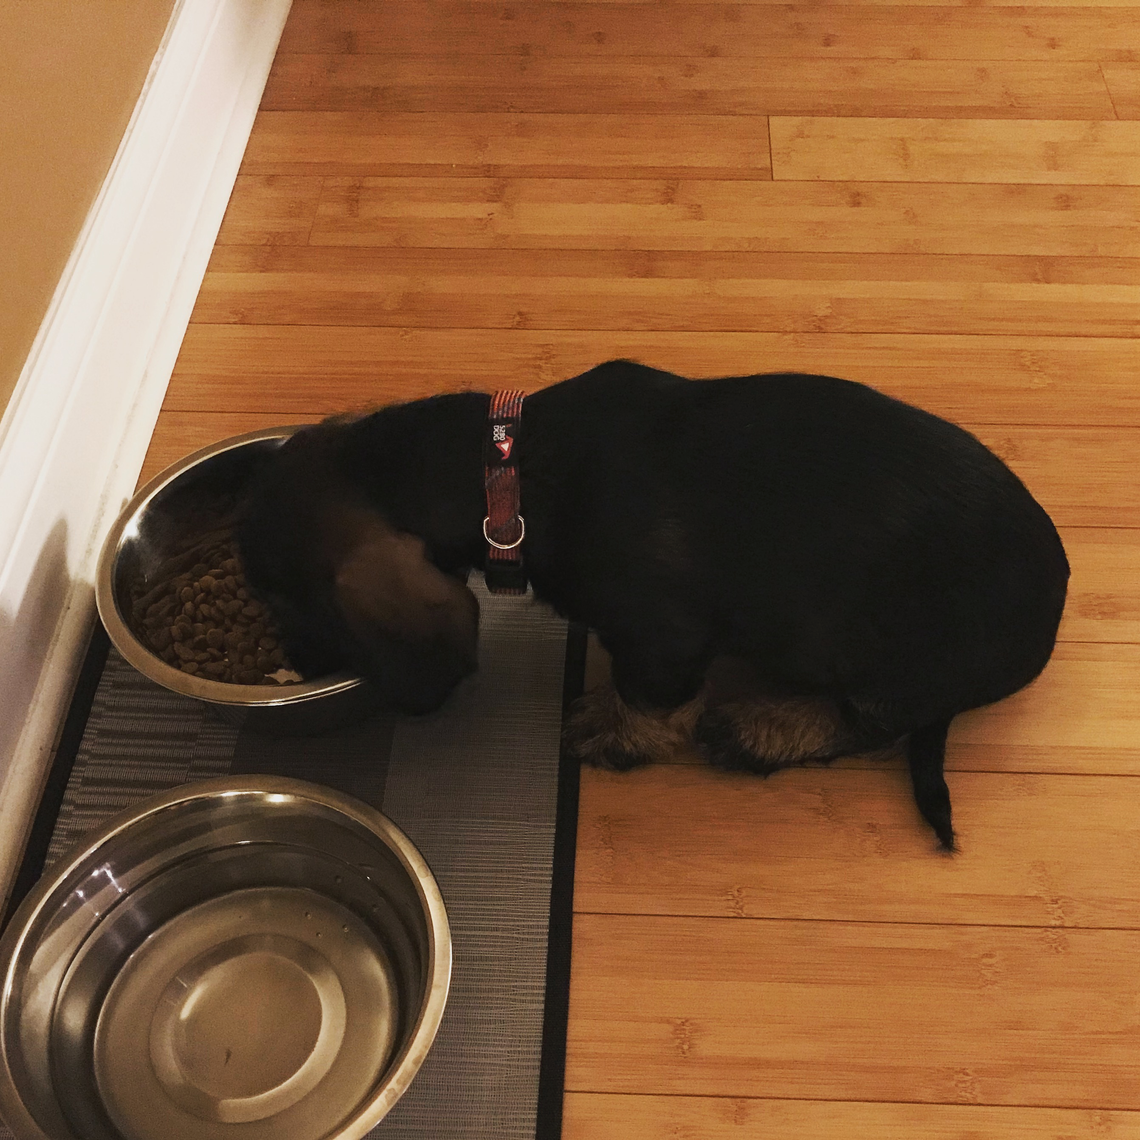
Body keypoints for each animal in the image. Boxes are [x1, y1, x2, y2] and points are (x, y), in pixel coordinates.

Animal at [235, 360, 1062, 852]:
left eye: (284, 594)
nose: (293, 659)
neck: (512, 472)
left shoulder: (662, 637)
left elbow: (650, 701)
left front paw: (615, 731)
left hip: (886, 665)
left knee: (867, 726)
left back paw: (761, 729)